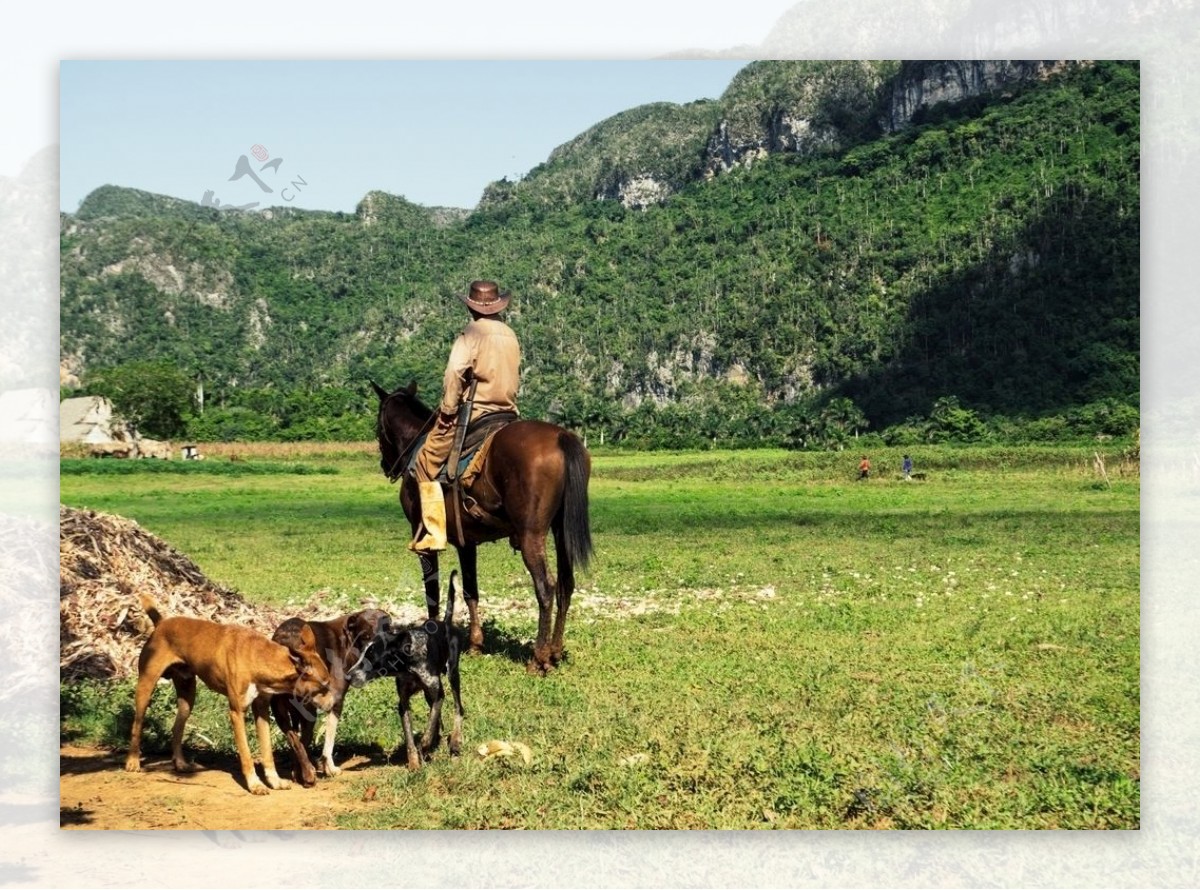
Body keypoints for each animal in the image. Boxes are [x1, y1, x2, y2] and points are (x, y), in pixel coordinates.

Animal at [123, 594, 333, 796]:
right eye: (324, 686)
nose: (333, 704)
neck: (258, 658)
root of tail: (161, 623)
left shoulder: (262, 710)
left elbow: (267, 752)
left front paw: (275, 781)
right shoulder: (236, 712)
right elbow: (246, 754)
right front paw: (255, 785)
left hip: (187, 696)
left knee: (177, 727)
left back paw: (180, 763)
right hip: (146, 685)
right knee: (136, 724)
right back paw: (133, 762)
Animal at [267, 609, 388, 791]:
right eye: (366, 635)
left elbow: (298, 740)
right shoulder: (336, 700)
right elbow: (328, 739)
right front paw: (329, 768)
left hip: (281, 711)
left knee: (296, 740)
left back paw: (302, 773)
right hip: (308, 711)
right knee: (303, 739)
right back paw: (308, 775)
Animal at [364, 383, 590, 676]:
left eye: (378, 427)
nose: (385, 465)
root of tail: (562, 437)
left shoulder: (424, 538)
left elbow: (432, 592)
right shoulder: (467, 542)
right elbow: (471, 591)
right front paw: (475, 644)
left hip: (532, 536)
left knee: (546, 587)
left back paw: (538, 658)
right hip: (561, 532)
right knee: (565, 584)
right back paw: (555, 652)